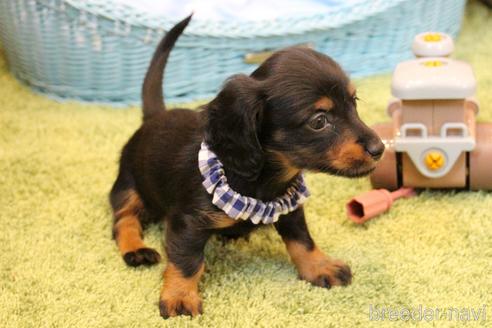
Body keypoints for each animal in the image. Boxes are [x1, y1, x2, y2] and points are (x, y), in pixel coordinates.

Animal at [110, 15, 384, 318]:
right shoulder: (189, 221)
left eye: (354, 102)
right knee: (124, 219)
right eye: (319, 120)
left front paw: (319, 267)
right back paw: (136, 250)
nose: (380, 149)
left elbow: (302, 240)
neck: (262, 179)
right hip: (128, 185)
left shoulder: (290, 207)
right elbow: (187, 260)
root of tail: (154, 117)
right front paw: (180, 296)